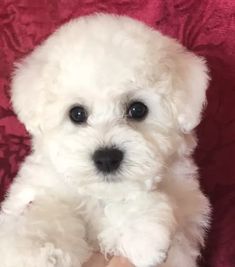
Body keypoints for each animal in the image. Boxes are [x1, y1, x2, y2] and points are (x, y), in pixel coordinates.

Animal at [0, 14, 211, 267]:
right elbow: (43, 211)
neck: (99, 195)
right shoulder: (34, 190)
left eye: (137, 109)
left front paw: (142, 232)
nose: (107, 158)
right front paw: (37, 250)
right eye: (77, 113)